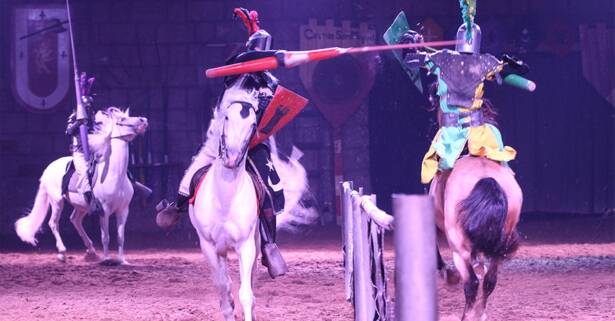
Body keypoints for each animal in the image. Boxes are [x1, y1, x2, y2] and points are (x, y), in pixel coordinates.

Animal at [15, 107, 148, 262]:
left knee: (75, 220)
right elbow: (105, 237)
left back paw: (91, 251)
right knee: (53, 223)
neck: (115, 175)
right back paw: (62, 252)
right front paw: (107, 259)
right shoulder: (104, 211)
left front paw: (122, 261)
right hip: (57, 202)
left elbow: (121, 237)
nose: (143, 120)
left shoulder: (123, 210)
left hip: (82, 206)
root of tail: (48, 169)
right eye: (122, 120)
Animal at [430, 154, 524, 318]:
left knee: (471, 283)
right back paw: (480, 313)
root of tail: (487, 178)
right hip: (499, 249)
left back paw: (468, 315)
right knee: (489, 281)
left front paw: (449, 275)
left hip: (459, 250)